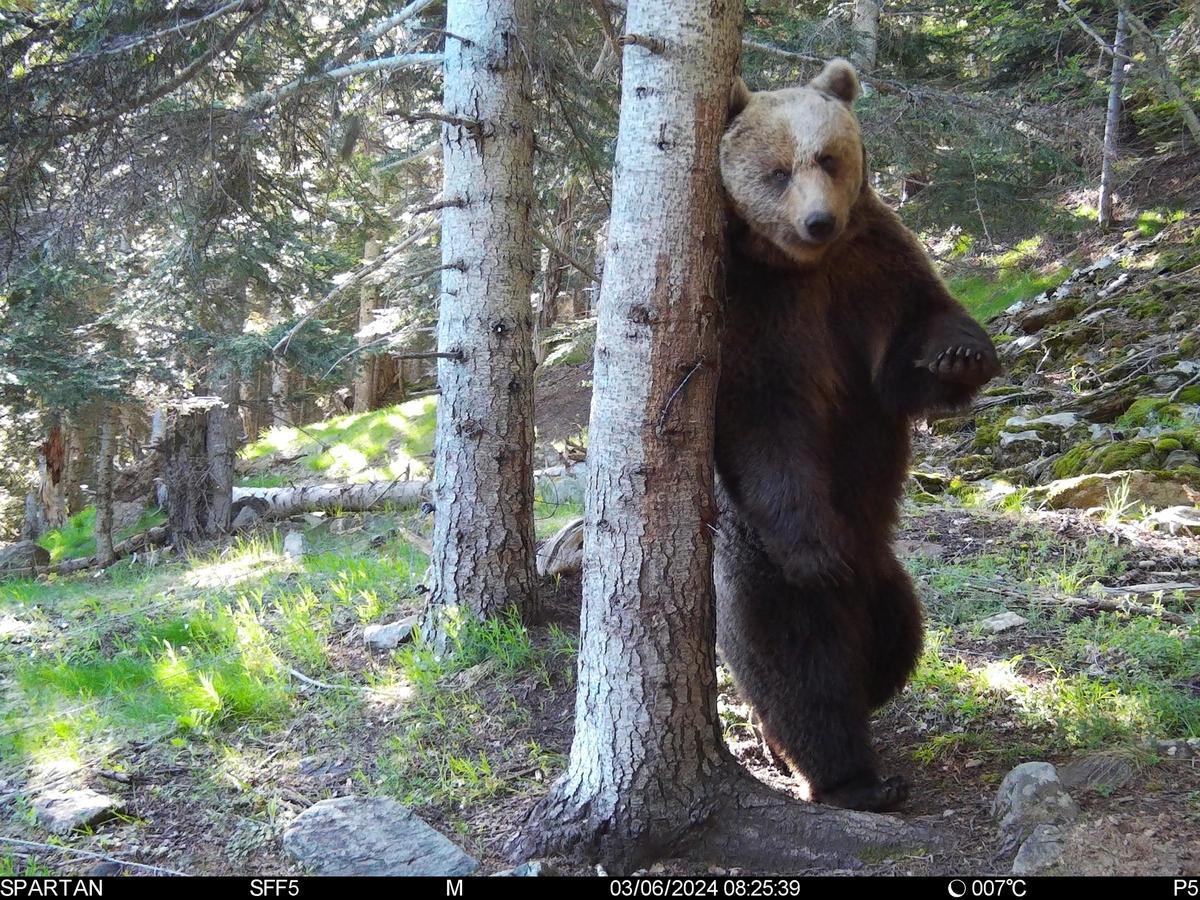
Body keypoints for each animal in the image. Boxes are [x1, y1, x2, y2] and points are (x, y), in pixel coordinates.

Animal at [714, 58, 1000, 812]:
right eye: (776, 171)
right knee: (800, 662)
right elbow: (765, 428)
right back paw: (852, 778)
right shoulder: (752, 311)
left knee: (898, 638)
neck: (802, 268)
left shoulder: (872, 266)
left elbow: (913, 341)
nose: (819, 221)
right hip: (759, 565)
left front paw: (960, 356)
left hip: (888, 574)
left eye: (830, 158)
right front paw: (818, 550)